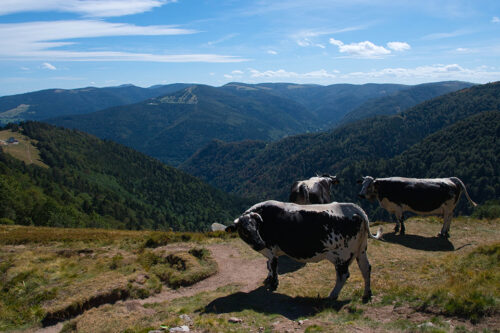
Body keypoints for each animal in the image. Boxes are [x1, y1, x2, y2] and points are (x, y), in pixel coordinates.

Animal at [225, 200, 380, 300]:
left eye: (256, 227)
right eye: (244, 230)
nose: (259, 243)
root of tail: (354, 209)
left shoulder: (271, 250)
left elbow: (273, 266)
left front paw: (274, 283)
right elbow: (268, 265)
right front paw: (268, 279)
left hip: (342, 255)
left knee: (343, 275)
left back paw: (332, 295)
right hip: (361, 250)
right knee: (366, 269)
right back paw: (367, 294)